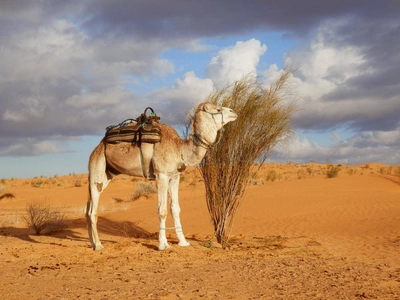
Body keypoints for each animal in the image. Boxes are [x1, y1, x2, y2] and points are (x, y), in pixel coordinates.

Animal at [86, 102, 236, 250]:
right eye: (217, 109)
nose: (233, 112)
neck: (179, 149)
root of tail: (96, 148)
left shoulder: (174, 176)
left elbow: (175, 209)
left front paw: (183, 242)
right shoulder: (161, 175)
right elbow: (162, 210)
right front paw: (163, 244)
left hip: (107, 174)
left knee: (88, 209)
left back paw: (92, 243)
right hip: (97, 168)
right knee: (93, 210)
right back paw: (98, 245)